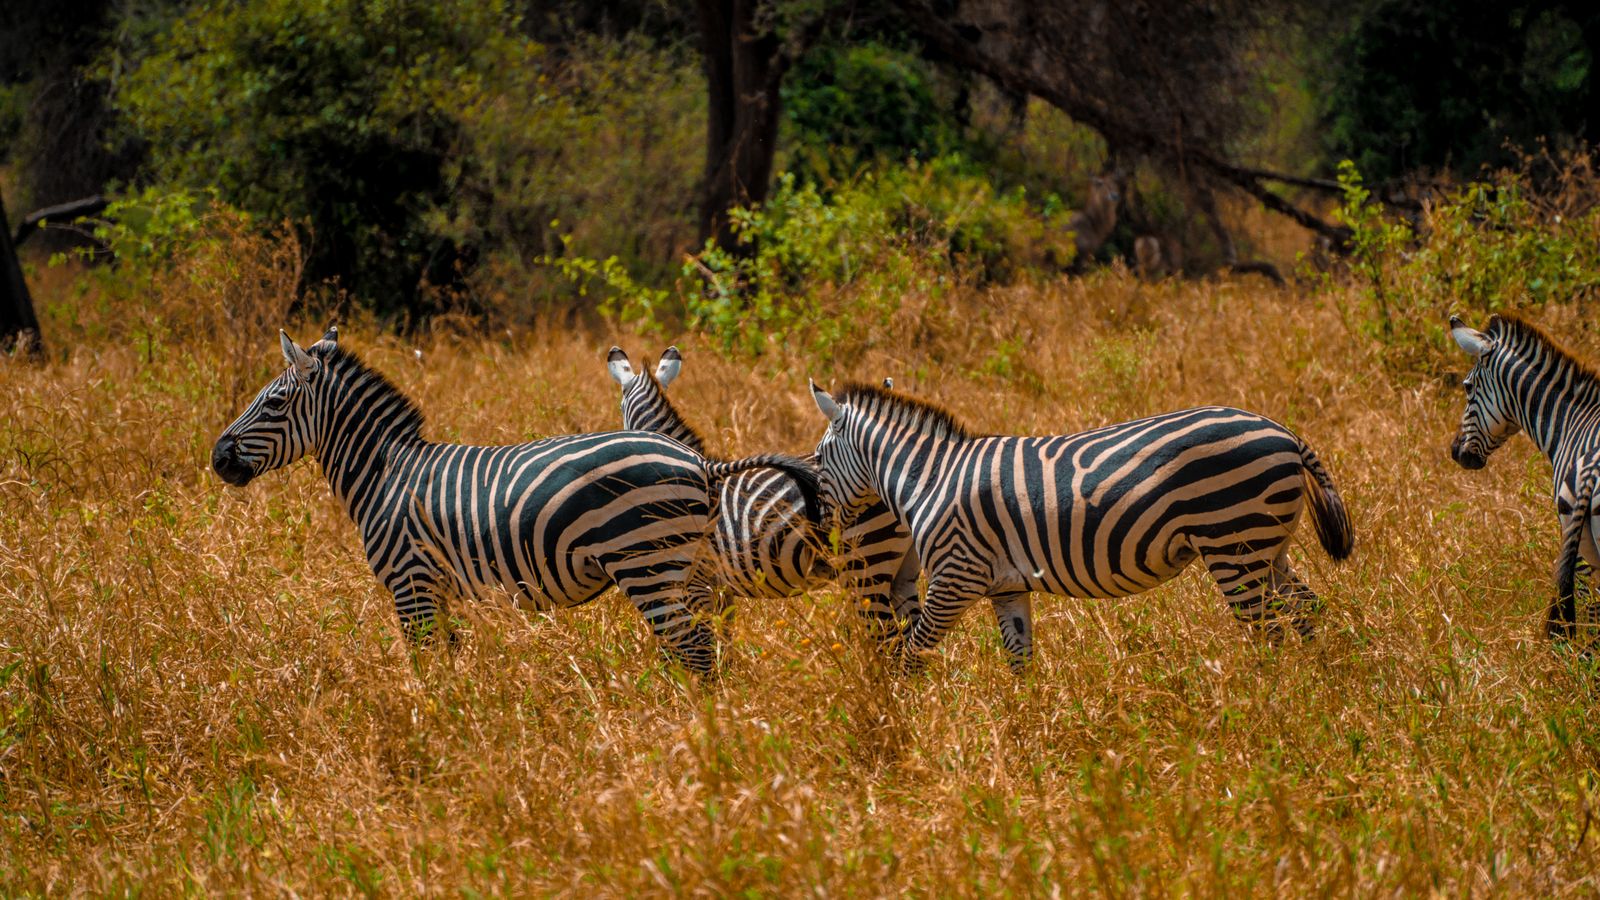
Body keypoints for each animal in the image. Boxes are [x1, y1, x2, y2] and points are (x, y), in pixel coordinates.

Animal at [210, 328, 820, 675]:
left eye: (275, 402)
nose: (217, 457)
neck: (385, 474)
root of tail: (700, 462)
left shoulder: (411, 584)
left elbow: (426, 669)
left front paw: (431, 731)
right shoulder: (437, 590)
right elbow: (450, 662)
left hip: (647, 562)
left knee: (693, 651)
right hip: (690, 568)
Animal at [607, 347, 920, 643]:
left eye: (619, 410)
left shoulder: (696, 584)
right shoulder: (719, 587)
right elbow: (724, 640)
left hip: (866, 560)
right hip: (903, 565)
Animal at [808, 381, 1354, 672]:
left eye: (817, 458)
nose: (822, 529)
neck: (930, 478)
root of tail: (1284, 432)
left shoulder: (954, 577)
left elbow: (912, 653)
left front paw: (905, 719)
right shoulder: (1005, 587)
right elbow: (1020, 661)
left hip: (1232, 542)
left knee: (1269, 628)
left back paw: (1268, 696)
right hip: (1266, 545)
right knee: (1305, 608)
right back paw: (1318, 684)